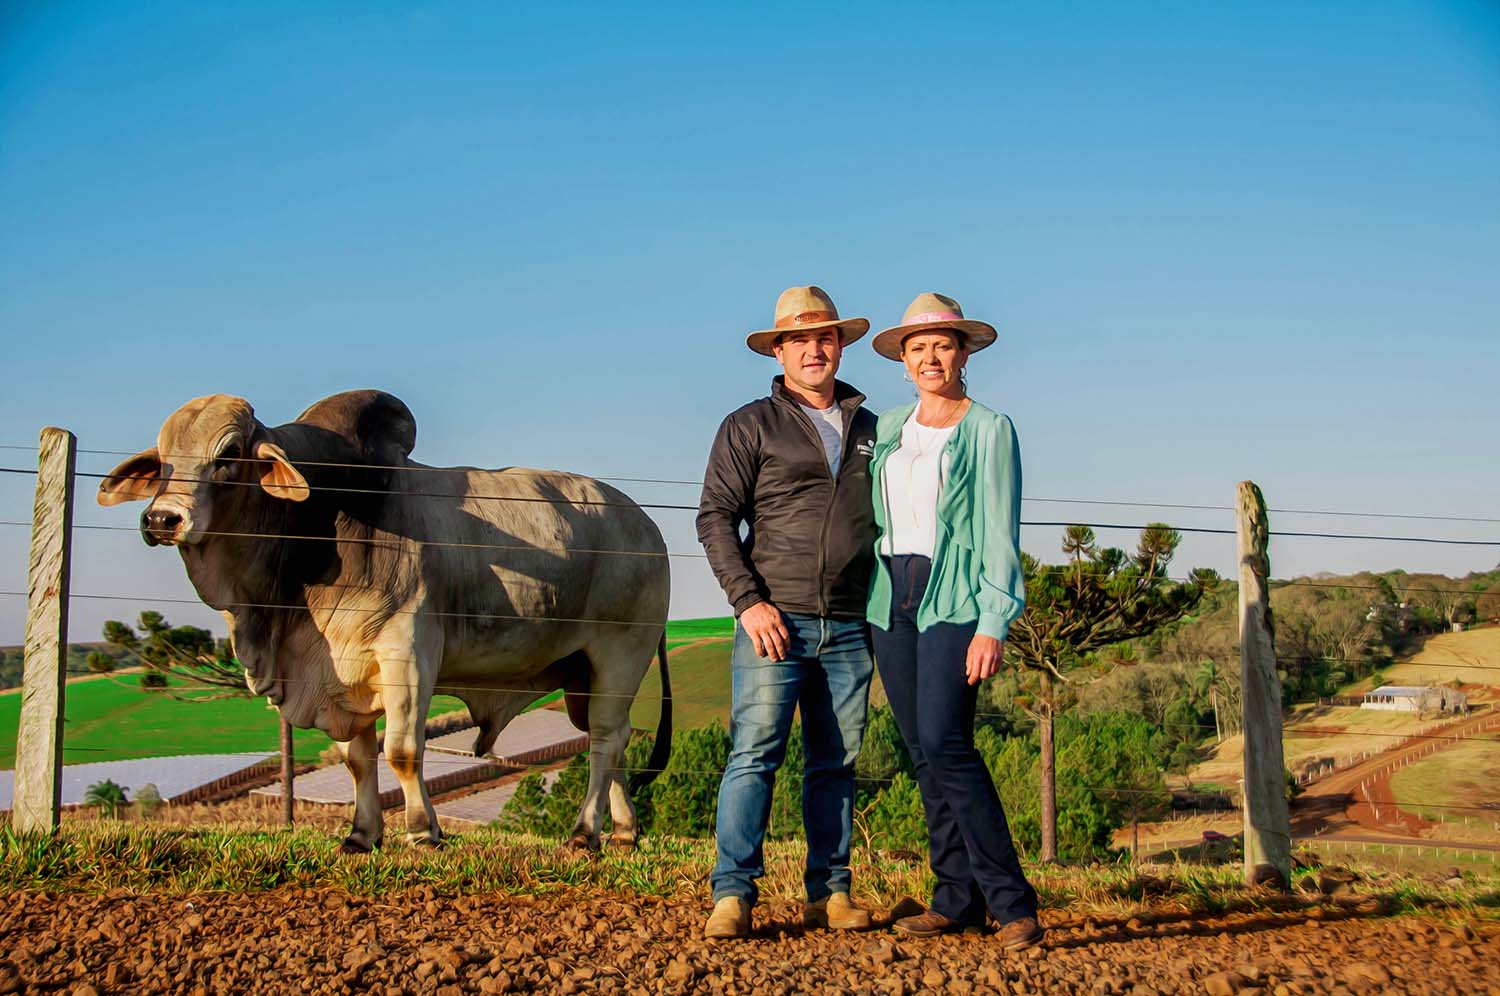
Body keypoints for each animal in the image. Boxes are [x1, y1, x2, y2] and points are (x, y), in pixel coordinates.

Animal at [96, 390, 672, 846]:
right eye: (164, 457)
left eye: (229, 453)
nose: (162, 519)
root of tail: (646, 526)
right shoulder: (341, 675)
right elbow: (358, 759)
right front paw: (361, 835)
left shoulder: (407, 654)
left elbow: (401, 750)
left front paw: (422, 830)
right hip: (581, 675)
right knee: (616, 739)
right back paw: (624, 831)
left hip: (619, 654)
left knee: (603, 740)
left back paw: (585, 832)